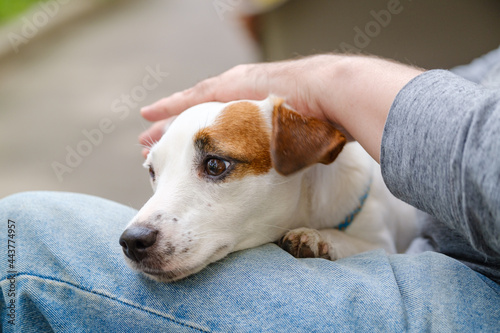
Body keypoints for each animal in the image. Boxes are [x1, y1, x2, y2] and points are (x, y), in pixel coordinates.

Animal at [120, 95, 418, 280]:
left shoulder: (382, 241)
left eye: (215, 165)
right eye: (152, 172)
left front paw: (319, 237)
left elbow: (356, 242)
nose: (131, 241)